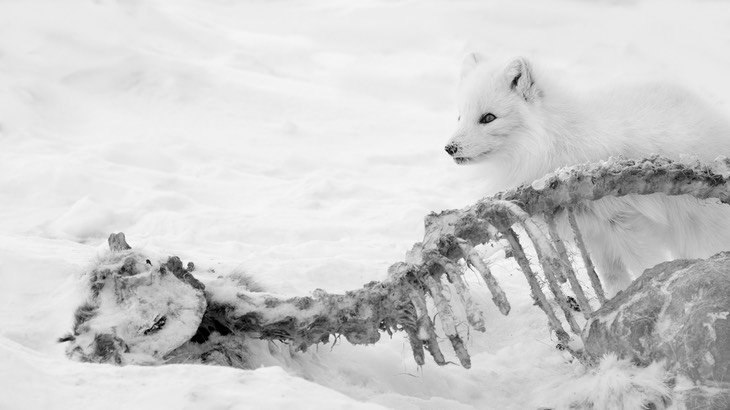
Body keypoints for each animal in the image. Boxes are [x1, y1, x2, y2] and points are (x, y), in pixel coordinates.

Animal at [446, 54, 728, 296]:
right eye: (459, 116)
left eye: (488, 117)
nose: (450, 148)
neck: (554, 144)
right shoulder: (594, 234)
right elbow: (613, 279)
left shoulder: (625, 223)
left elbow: (647, 266)